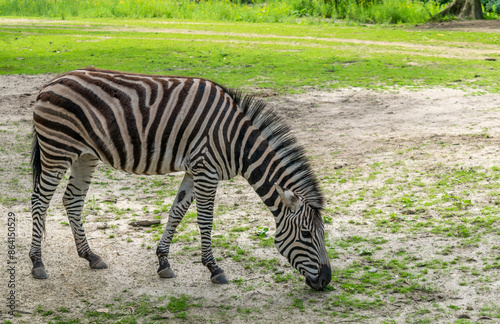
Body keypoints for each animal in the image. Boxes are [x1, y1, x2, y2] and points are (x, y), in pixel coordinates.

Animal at [29, 67, 330, 290]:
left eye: (322, 233)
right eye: (306, 234)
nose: (326, 280)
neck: (237, 142)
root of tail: (50, 82)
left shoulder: (194, 169)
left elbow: (177, 211)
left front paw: (163, 262)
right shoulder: (206, 169)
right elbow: (205, 220)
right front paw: (214, 268)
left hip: (85, 155)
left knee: (72, 199)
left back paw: (90, 256)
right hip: (57, 149)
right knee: (39, 200)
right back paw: (37, 263)